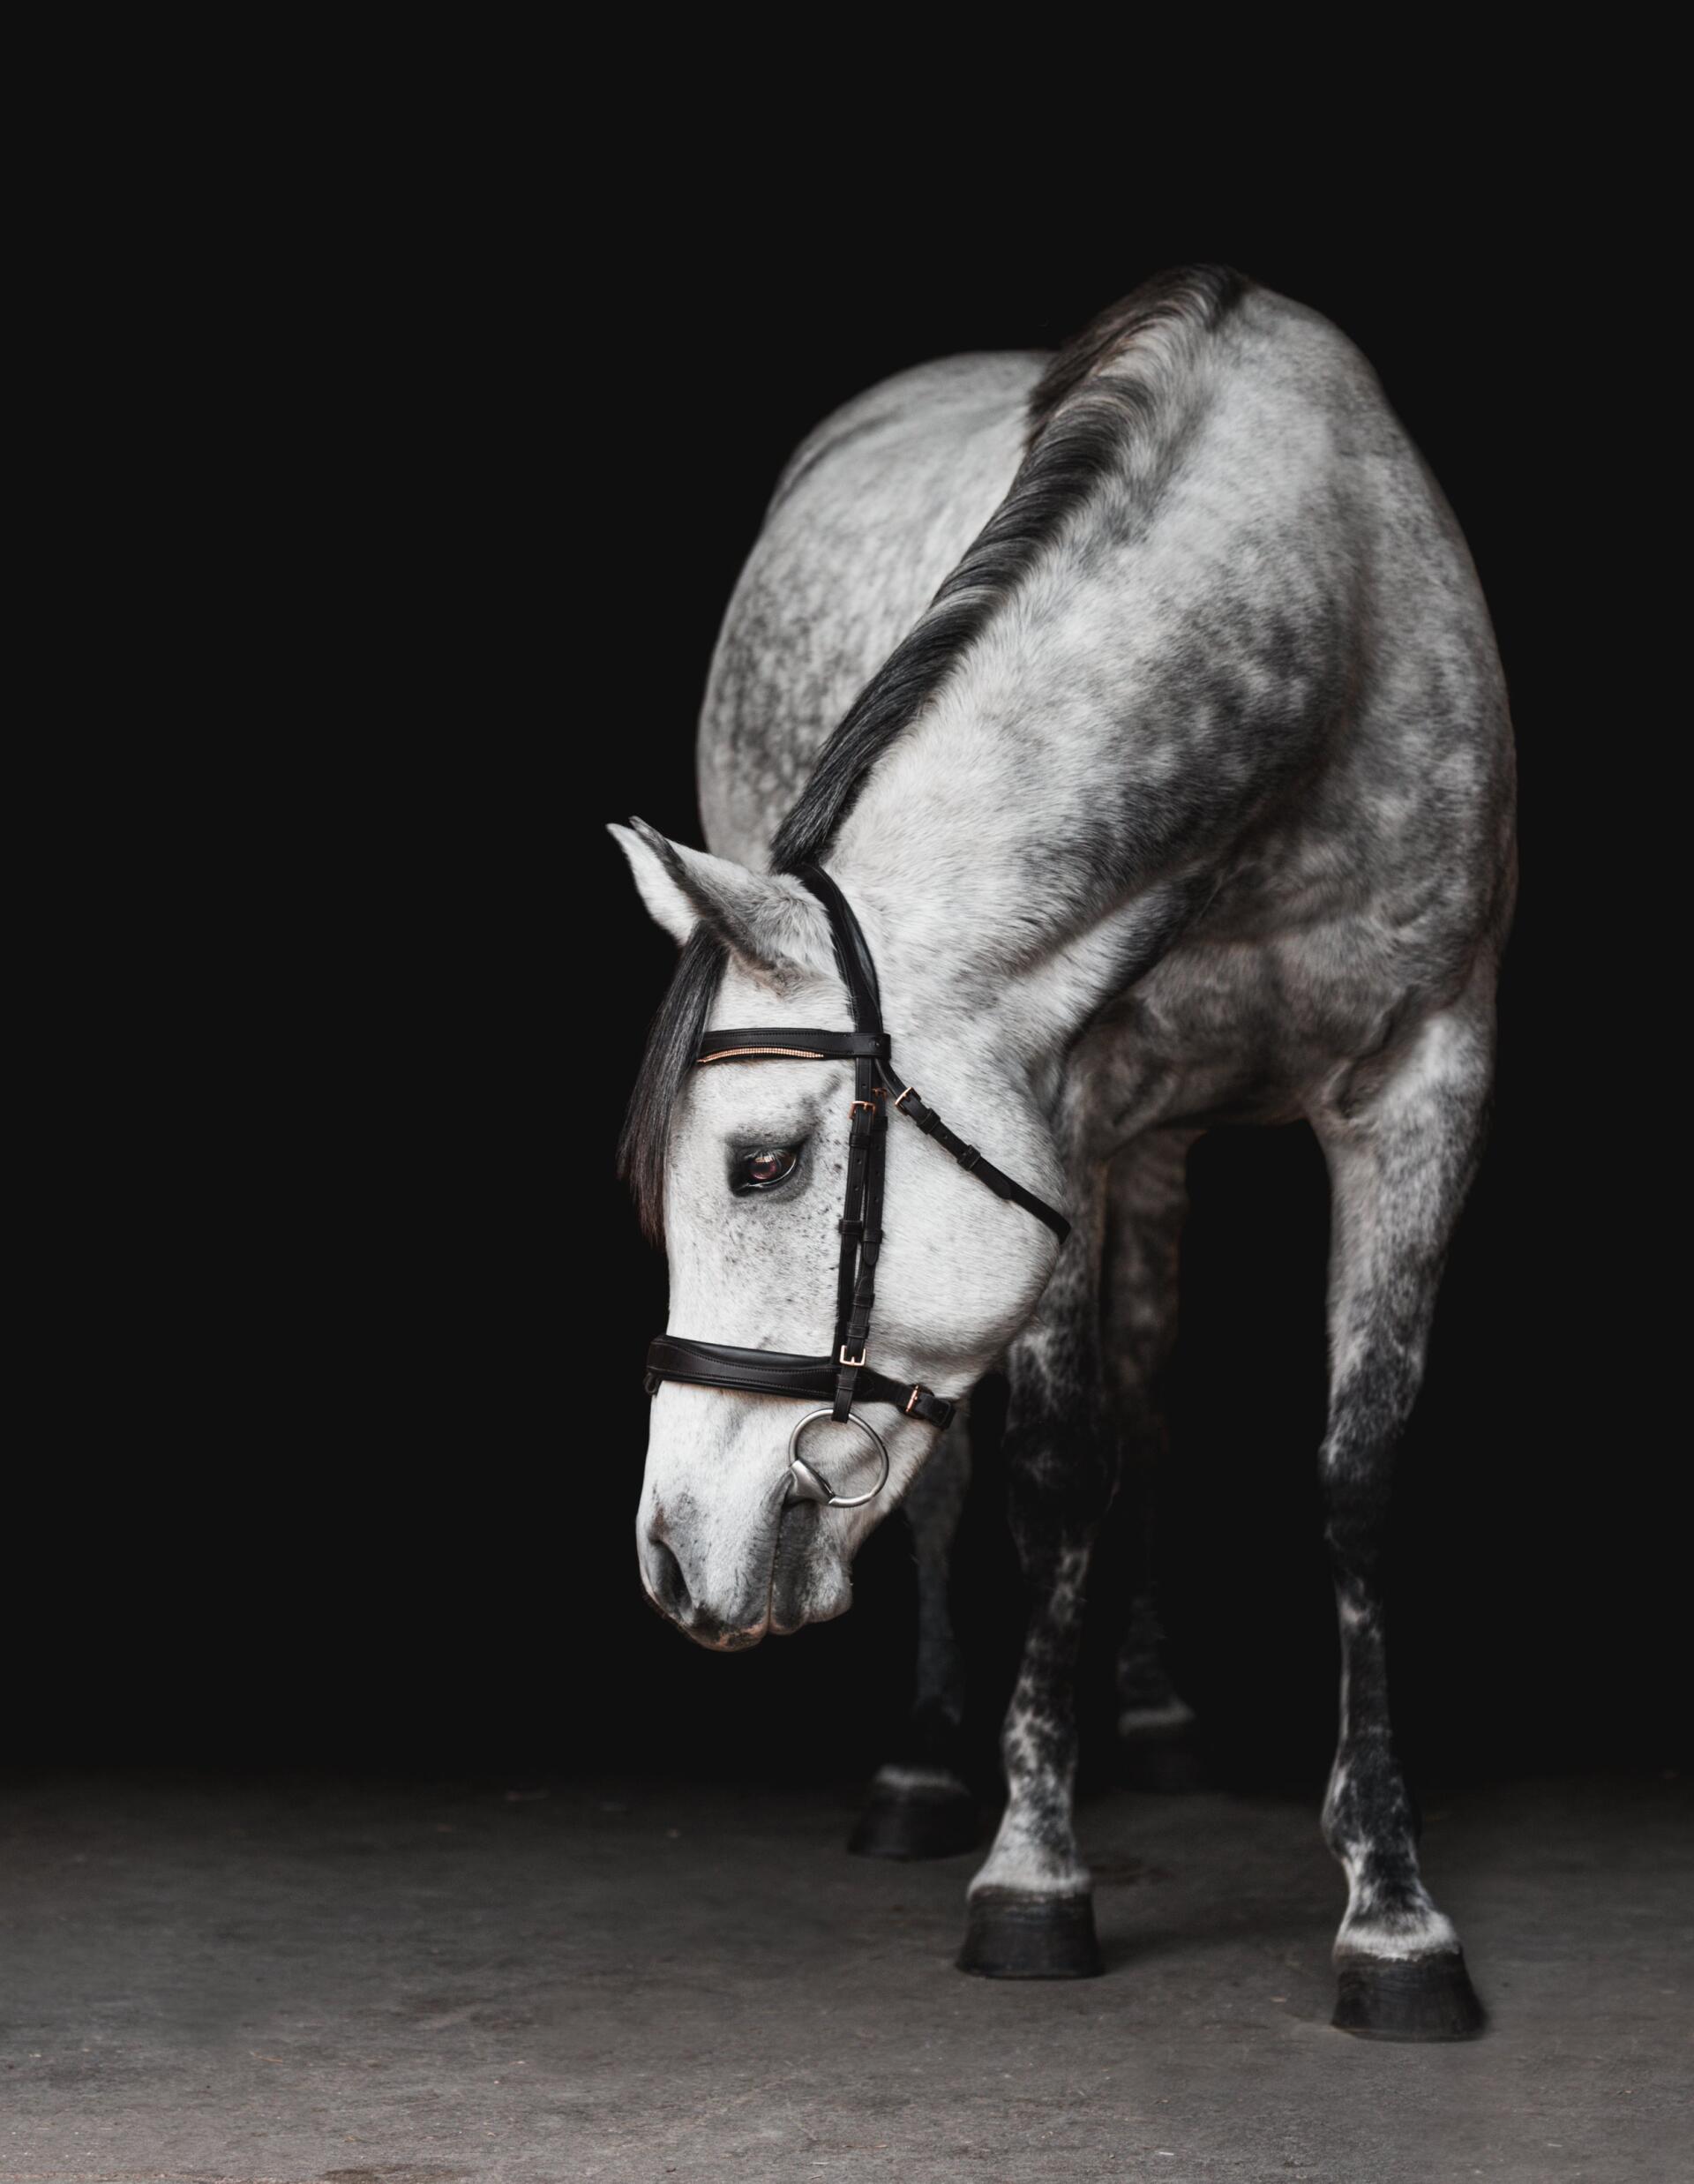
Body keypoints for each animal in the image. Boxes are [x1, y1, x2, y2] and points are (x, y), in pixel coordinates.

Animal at [611, 265, 1516, 2040]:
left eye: (758, 1166)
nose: (674, 1555)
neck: (1317, 622)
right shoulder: (1065, 1127)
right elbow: (1047, 1475)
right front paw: (1032, 1872)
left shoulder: (1425, 1085)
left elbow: (1355, 1476)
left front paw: (1391, 1905)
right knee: (963, 1469)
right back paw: (922, 1768)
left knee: (1152, 1396)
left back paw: (1155, 1714)